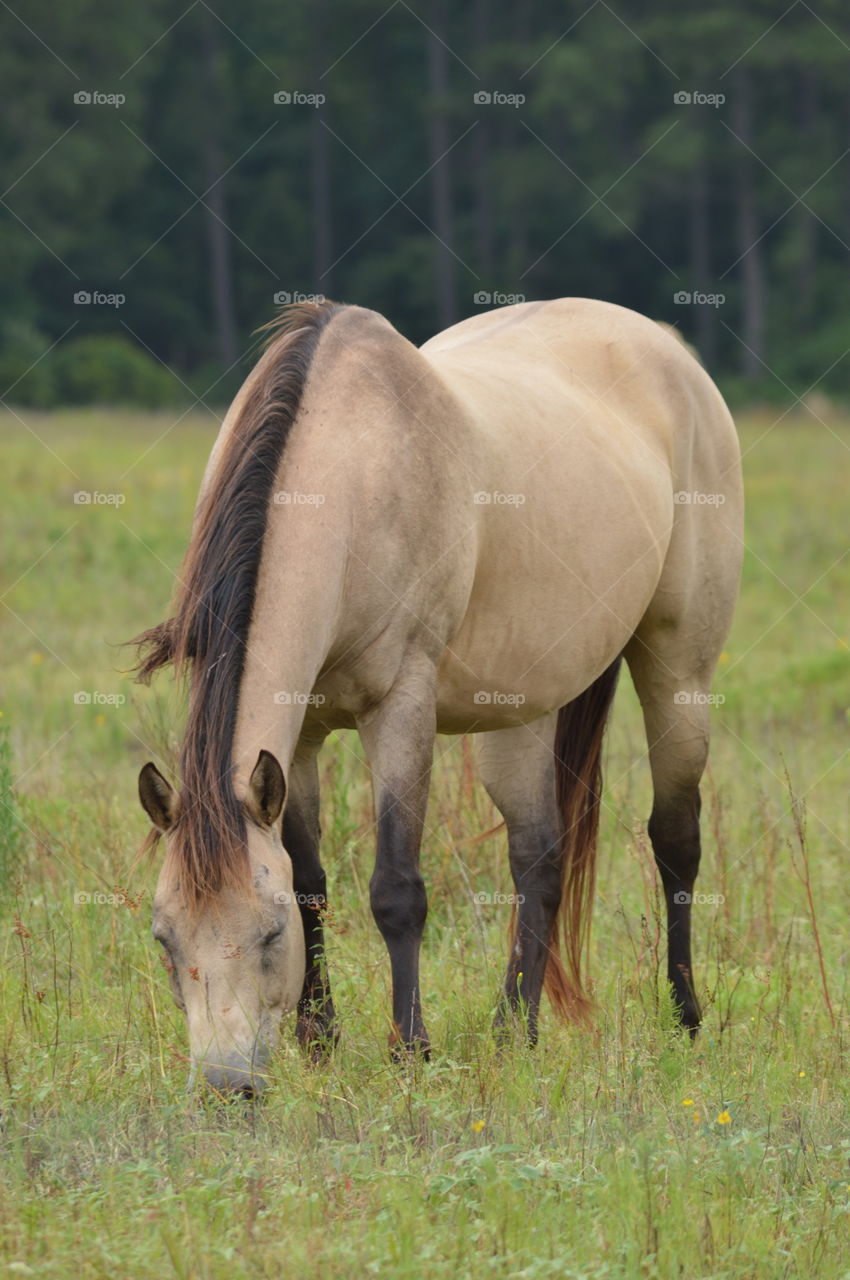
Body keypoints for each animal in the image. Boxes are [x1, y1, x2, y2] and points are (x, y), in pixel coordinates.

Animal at [132, 297, 743, 1096]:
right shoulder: (300, 736)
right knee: (538, 859)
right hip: (520, 709)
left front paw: (410, 1049)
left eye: (267, 934)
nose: (227, 1086)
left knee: (674, 842)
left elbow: (396, 889)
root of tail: (670, 348)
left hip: (679, 670)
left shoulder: (401, 709)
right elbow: (311, 877)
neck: (349, 473)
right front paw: (319, 1039)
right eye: (165, 939)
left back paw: (684, 1017)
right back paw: (516, 1031)